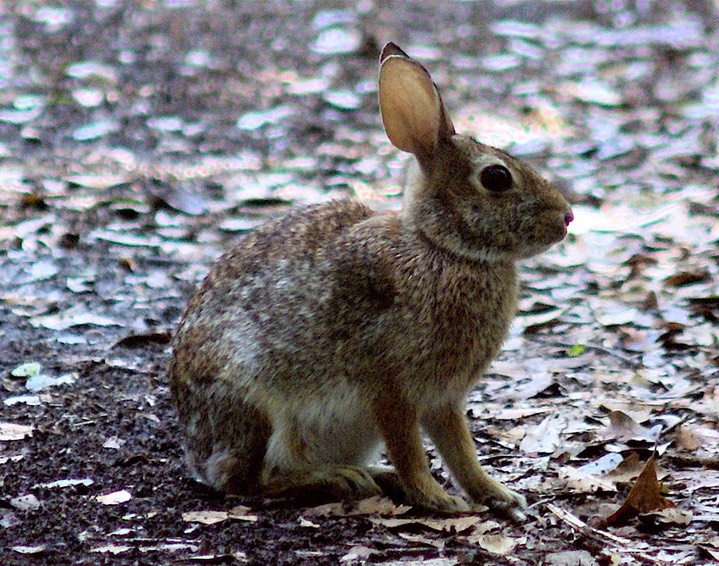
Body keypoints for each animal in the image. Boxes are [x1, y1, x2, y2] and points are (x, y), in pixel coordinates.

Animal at [169, 42, 572, 516]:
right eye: (496, 177)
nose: (567, 217)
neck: (441, 248)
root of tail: (196, 454)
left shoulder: (443, 398)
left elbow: (460, 451)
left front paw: (496, 493)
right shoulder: (390, 387)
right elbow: (410, 449)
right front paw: (438, 500)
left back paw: (373, 476)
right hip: (257, 405)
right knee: (247, 480)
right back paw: (340, 479)